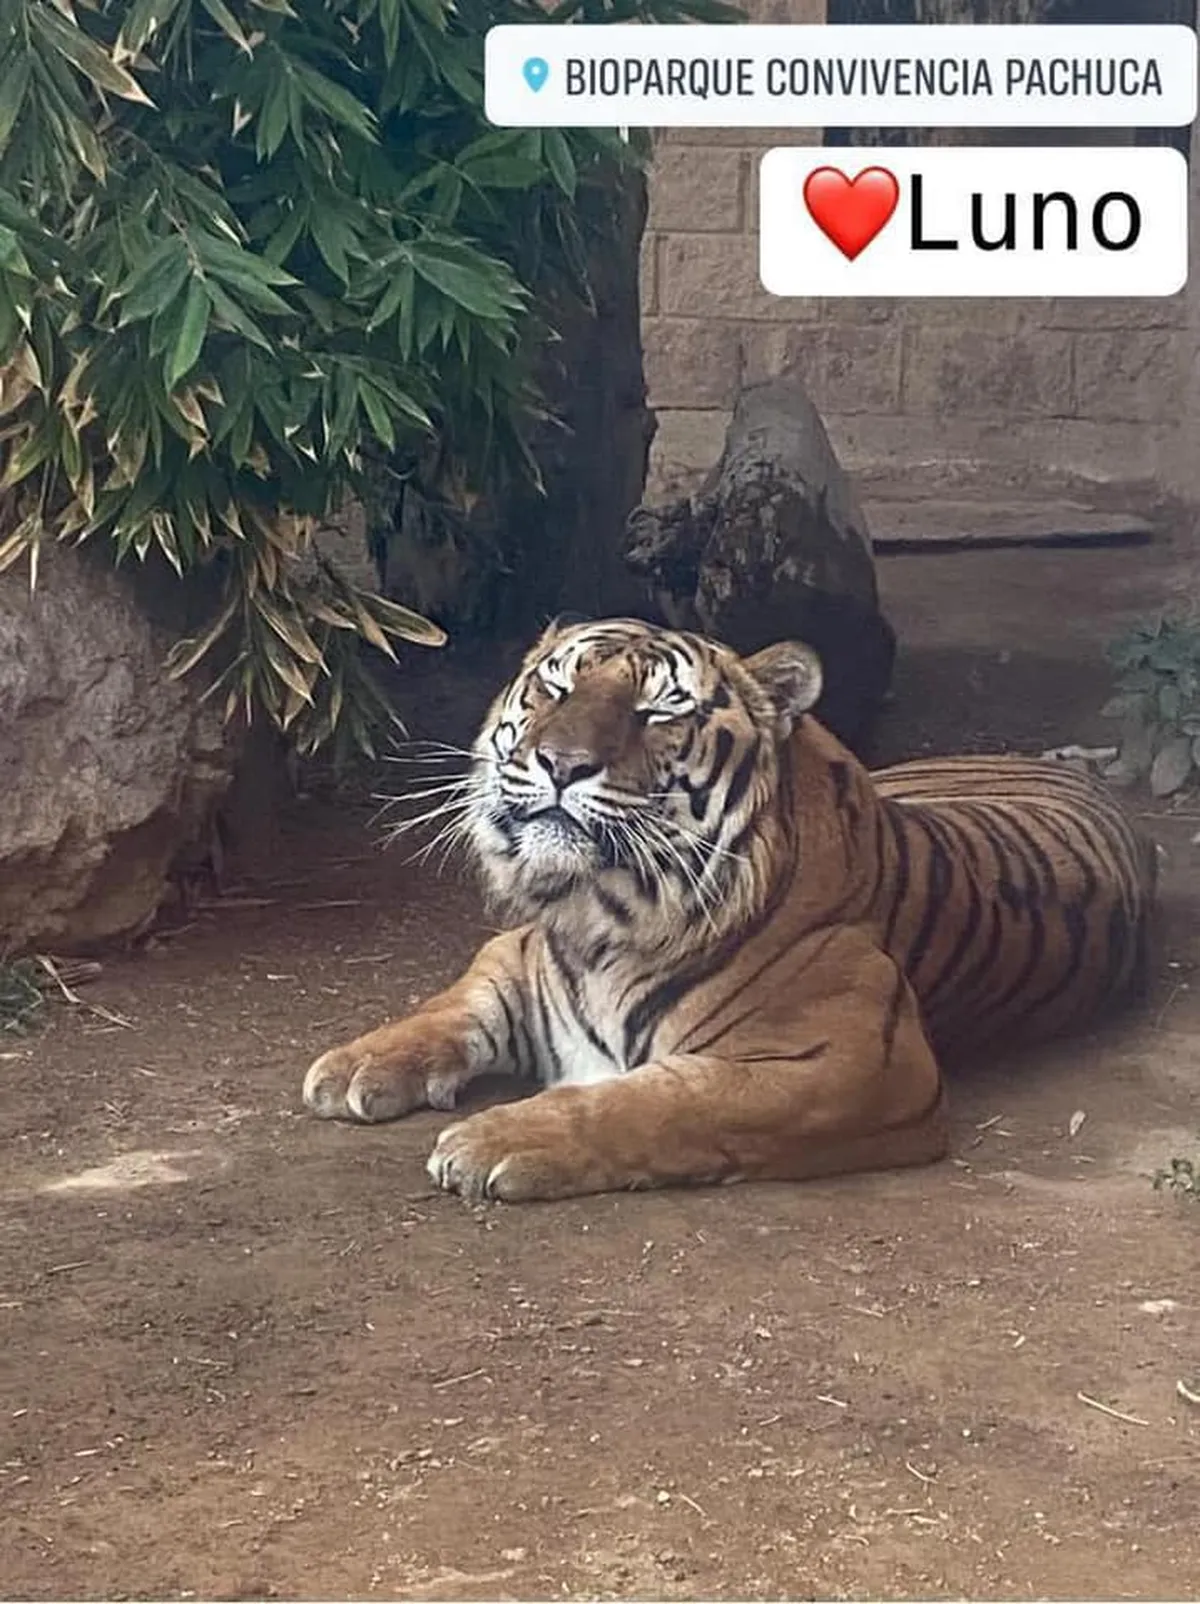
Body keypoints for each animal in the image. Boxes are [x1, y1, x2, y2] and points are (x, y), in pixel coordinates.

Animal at [302, 615, 1157, 1204]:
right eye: (557, 688)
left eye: (657, 712)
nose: (560, 764)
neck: (598, 916)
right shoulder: (517, 952)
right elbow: (449, 1007)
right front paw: (352, 1066)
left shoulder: (853, 1063)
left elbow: (655, 1103)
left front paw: (497, 1139)